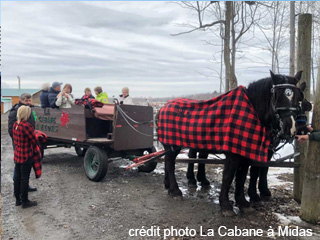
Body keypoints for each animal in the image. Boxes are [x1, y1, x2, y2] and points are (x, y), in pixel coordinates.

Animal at [158, 70, 304, 217]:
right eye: (277, 96)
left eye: (298, 97)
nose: (290, 128)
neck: (250, 112)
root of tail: (163, 107)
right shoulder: (233, 154)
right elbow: (228, 176)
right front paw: (226, 205)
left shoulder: (246, 153)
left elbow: (242, 177)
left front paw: (243, 203)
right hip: (173, 145)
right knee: (170, 163)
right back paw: (176, 191)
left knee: (172, 161)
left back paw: (172, 187)